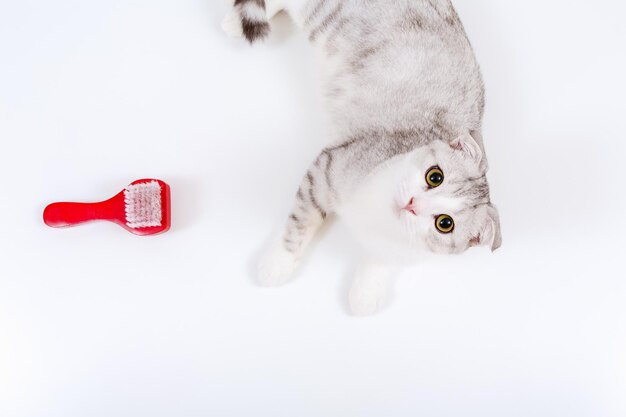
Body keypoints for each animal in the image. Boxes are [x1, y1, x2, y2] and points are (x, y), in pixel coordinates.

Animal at [222, 0, 500, 314]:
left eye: (445, 223)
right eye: (435, 176)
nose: (412, 204)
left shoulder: (399, 250)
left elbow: (381, 263)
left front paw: (367, 292)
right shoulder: (326, 169)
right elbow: (300, 223)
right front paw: (278, 263)